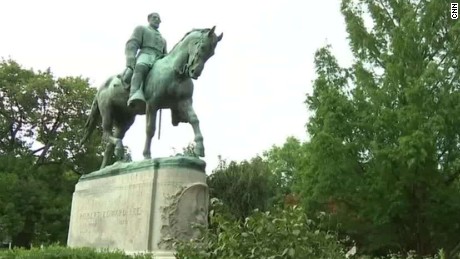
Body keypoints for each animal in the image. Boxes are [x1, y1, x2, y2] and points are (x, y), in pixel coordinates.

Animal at [81, 25, 225, 169]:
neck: (174, 72)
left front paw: (199, 148)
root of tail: (101, 87)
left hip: (125, 120)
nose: (195, 72)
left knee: (109, 144)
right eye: (202, 47)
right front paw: (146, 155)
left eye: (212, 53)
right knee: (106, 135)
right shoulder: (152, 104)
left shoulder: (184, 101)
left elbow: (194, 119)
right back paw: (116, 153)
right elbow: (150, 129)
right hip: (107, 112)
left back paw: (108, 164)